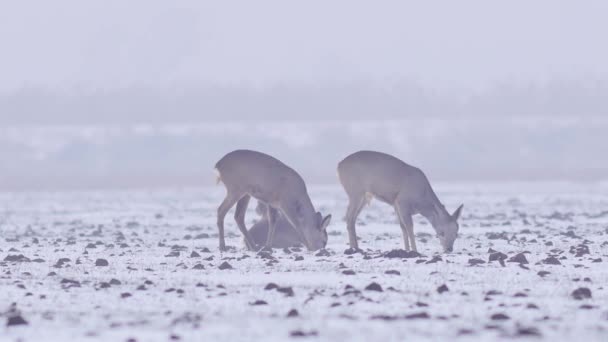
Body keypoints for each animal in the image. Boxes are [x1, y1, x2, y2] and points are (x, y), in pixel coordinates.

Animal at [338, 151, 466, 252]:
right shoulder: (402, 202)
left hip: (364, 197)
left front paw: (406, 249)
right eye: (441, 232)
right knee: (349, 217)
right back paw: (353, 248)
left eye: (456, 234)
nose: (449, 249)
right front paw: (415, 250)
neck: (421, 202)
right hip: (355, 193)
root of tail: (339, 166)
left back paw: (356, 247)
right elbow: (409, 227)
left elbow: (402, 227)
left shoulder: (396, 205)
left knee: (353, 218)